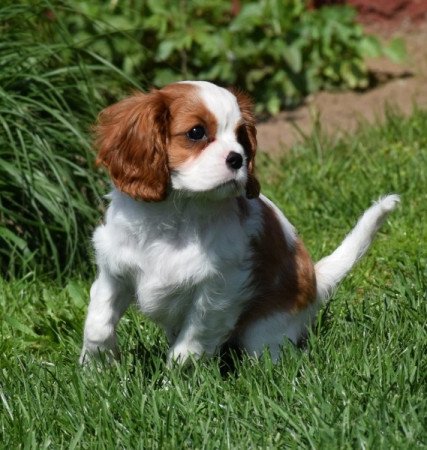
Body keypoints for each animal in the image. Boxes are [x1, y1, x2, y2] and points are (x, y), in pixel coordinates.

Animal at [79, 81, 398, 366]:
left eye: (241, 137)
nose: (237, 159)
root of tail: (316, 283)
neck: (177, 213)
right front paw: (96, 368)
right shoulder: (114, 270)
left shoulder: (218, 292)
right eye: (196, 132)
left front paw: (174, 385)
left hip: (265, 330)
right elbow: (97, 323)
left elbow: (189, 346)